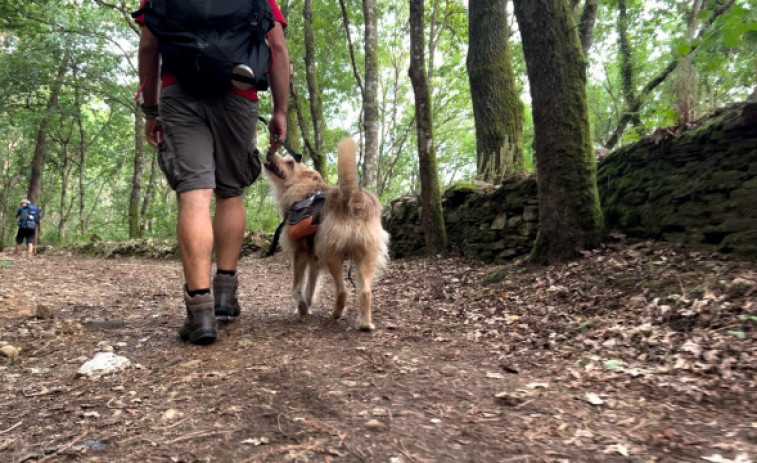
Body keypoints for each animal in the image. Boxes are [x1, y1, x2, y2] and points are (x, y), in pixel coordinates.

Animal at [262, 140, 390, 332]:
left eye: (290, 163)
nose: (269, 152)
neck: (304, 192)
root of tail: (353, 196)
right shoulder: (314, 261)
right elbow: (310, 287)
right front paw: (306, 307)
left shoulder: (299, 254)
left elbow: (296, 288)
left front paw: (301, 309)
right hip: (365, 258)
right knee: (365, 292)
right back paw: (365, 323)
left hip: (332, 255)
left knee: (343, 291)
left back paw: (336, 315)